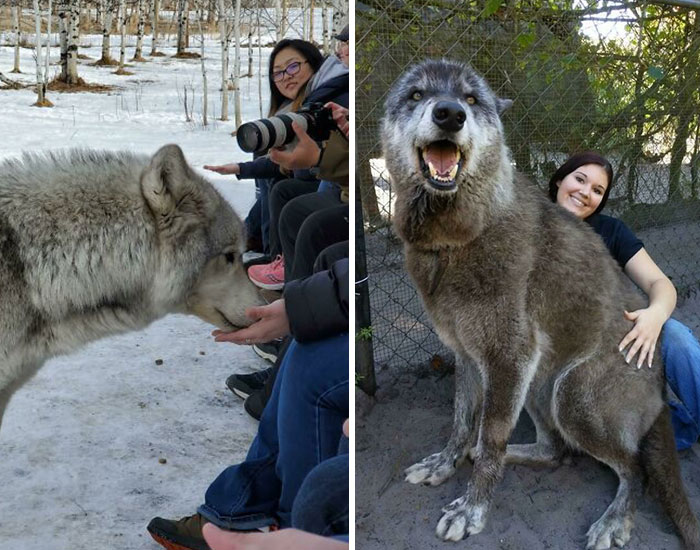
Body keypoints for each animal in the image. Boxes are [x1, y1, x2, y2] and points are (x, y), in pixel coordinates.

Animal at [381, 59, 700, 550]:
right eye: (416, 94)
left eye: (472, 99)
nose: (450, 114)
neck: (457, 238)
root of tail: (661, 388)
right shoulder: (469, 357)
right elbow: (461, 422)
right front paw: (445, 463)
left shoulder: (508, 357)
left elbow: (490, 435)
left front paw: (472, 510)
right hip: (537, 383)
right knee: (555, 452)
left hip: (570, 395)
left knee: (635, 469)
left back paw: (614, 519)